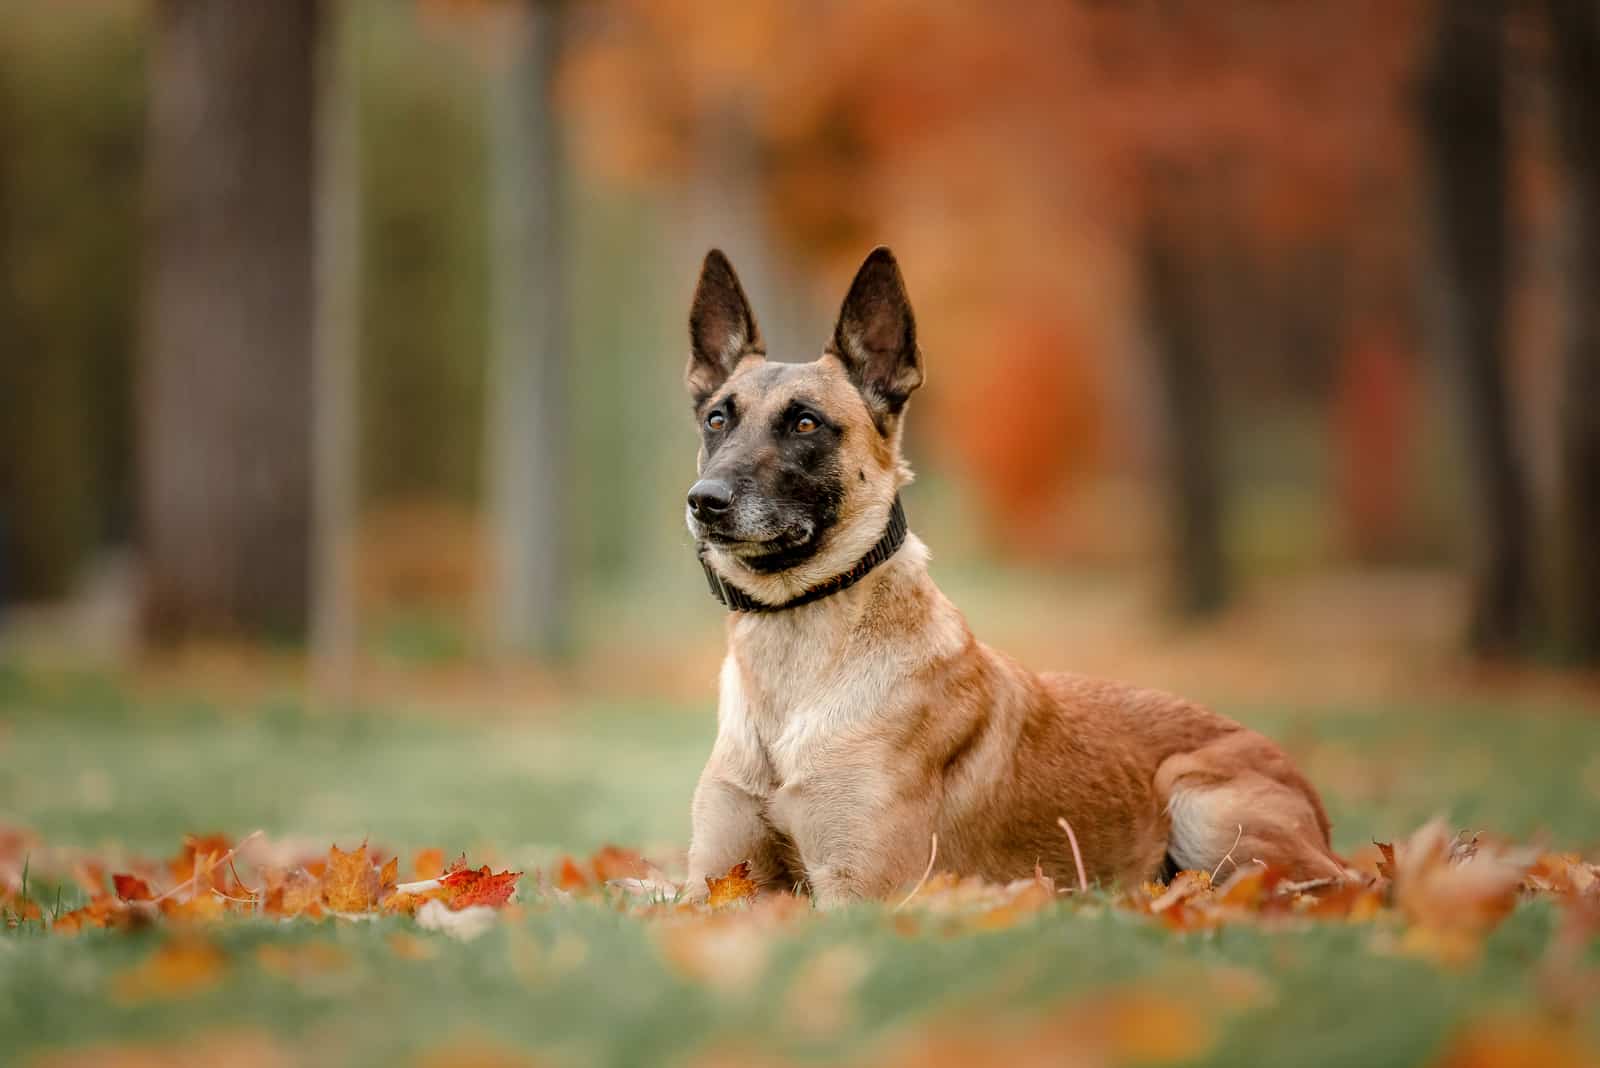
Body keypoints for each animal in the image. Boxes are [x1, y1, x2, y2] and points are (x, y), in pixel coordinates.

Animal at [681, 246, 1344, 908]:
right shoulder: (709, 882)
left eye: (806, 424)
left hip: (1202, 807)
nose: (704, 501)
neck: (795, 665)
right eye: (716, 420)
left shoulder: (863, 892)